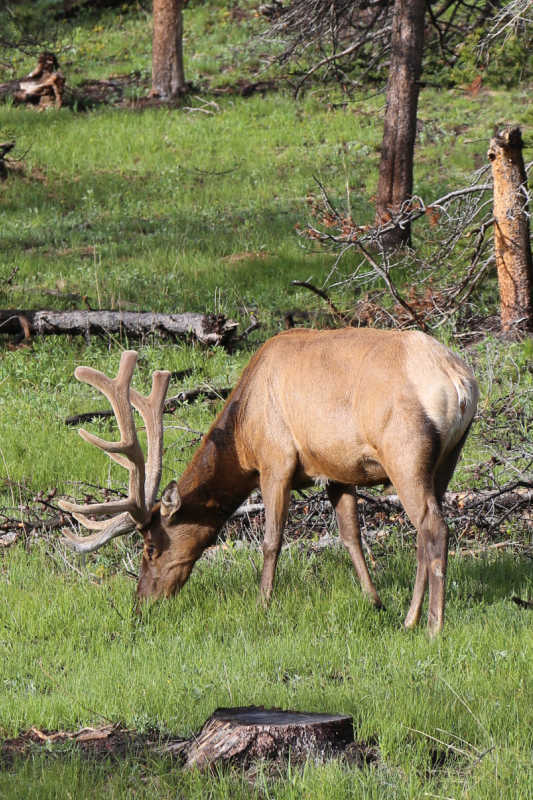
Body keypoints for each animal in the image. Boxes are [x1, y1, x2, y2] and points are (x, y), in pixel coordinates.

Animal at [59, 328, 478, 636]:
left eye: (149, 548)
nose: (141, 604)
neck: (242, 433)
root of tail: (460, 384)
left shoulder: (276, 460)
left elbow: (272, 540)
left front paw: (263, 605)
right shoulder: (335, 469)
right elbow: (350, 536)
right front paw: (373, 600)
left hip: (405, 452)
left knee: (433, 528)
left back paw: (430, 626)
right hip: (448, 458)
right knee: (423, 533)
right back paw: (410, 619)